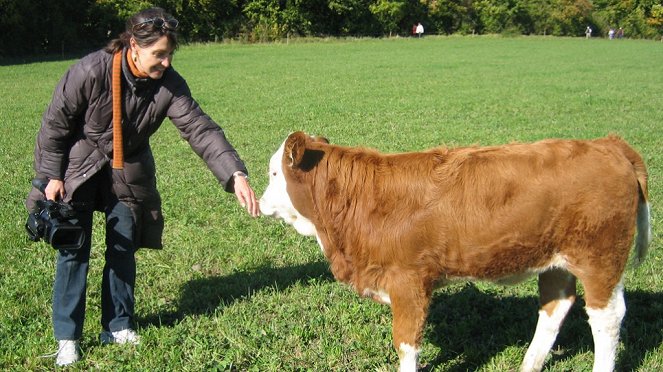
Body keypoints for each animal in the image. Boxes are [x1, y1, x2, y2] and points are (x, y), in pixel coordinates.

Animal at [260, 132, 652, 370]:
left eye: (274, 174)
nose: (259, 203)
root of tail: (608, 144)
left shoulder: (408, 281)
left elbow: (406, 343)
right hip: (556, 261)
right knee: (556, 307)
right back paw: (529, 364)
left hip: (601, 258)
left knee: (606, 317)